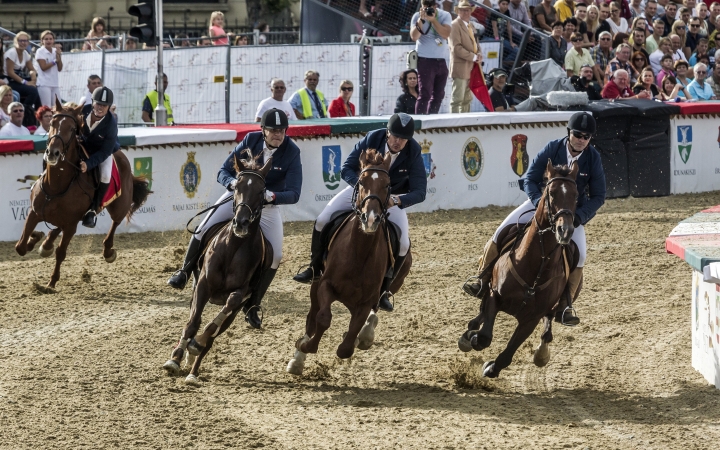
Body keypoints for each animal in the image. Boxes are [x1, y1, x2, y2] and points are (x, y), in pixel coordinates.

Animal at [14, 99, 150, 288]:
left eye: (72, 128)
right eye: (52, 123)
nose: (52, 153)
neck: (56, 186)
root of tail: (121, 155)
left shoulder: (71, 225)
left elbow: (61, 252)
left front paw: (51, 283)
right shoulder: (34, 214)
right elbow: (20, 246)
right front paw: (35, 238)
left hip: (118, 206)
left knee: (115, 222)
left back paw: (108, 251)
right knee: (56, 228)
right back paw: (46, 243)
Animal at [163, 154, 272, 384]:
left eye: (261, 191)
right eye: (237, 186)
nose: (241, 223)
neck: (234, 247)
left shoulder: (239, 294)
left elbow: (213, 326)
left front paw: (196, 344)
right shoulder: (203, 285)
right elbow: (192, 323)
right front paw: (175, 358)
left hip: (236, 311)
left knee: (212, 337)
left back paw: (193, 372)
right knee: (193, 322)